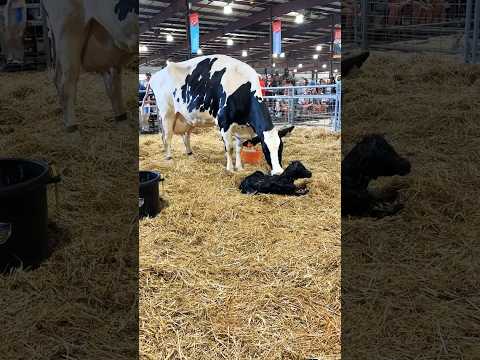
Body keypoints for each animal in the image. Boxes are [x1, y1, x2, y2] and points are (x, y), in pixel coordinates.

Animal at [150, 54, 284, 175]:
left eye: (281, 148)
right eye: (265, 149)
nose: (278, 172)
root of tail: (156, 75)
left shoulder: (240, 127)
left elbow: (239, 148)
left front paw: (239, 167)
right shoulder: (224, 122)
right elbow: (229, 147)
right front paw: (230, 169)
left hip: (186, 118)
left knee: (185, 136)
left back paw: (190, 153)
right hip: (167, 114)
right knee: (167, 137)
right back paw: (169, 157)